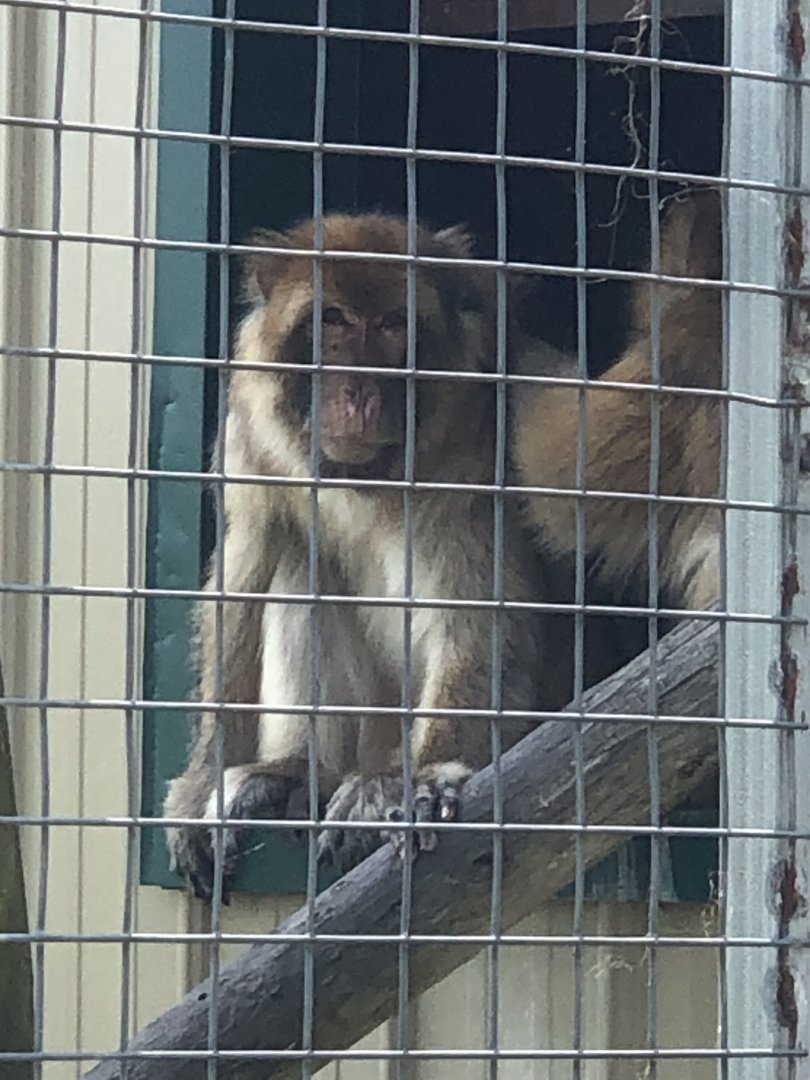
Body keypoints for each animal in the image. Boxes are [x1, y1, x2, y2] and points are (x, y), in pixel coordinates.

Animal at [163, 213, 571, 902]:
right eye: (331, 319)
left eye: (391, 325)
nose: (357, 390)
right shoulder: (251, 432)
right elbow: (243, 582)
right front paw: (201, 784)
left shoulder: (478, 452)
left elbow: (478, 616)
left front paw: (426, 775)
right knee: (301, 568)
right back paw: (299, 771)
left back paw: (373, 782)